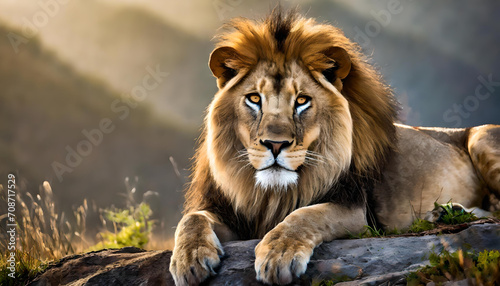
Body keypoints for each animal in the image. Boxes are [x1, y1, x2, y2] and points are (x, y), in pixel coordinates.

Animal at [169, 7, 500, 284]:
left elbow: (306, 215)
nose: (275, 144)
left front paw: (278, 254)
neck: (272, 193)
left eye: (302, 101)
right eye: (253, 98)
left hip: (481, 137)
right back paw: (447, 212)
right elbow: (191, 218)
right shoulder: (231, 214)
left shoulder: (356, 210)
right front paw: (189, 259)